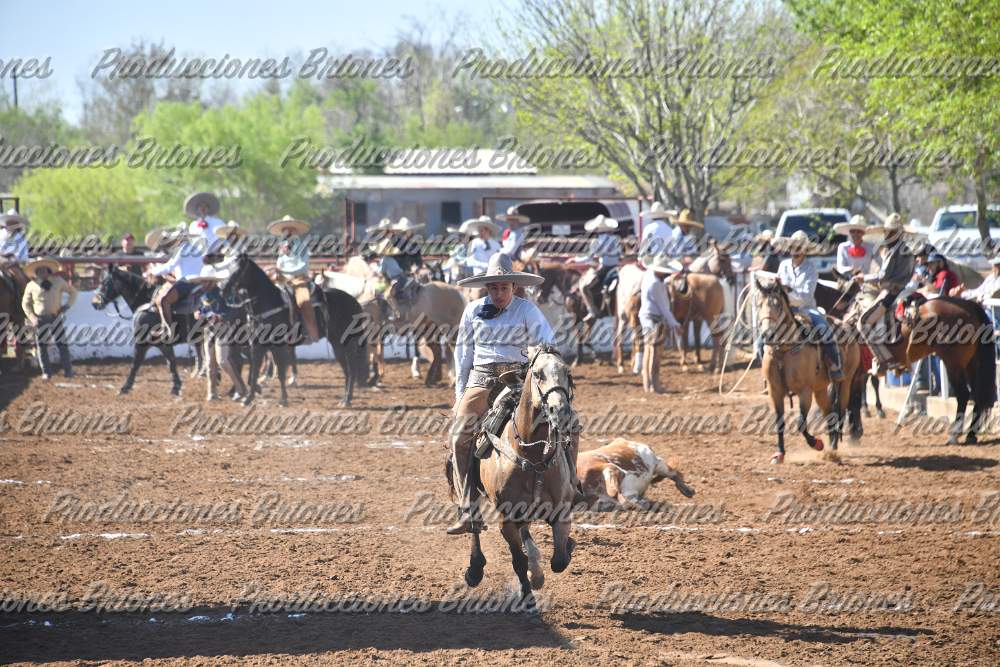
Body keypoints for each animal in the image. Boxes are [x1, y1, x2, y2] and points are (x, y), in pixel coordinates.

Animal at [91, 266, 200, 396]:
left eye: (105, 282)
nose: (94, 303)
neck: (147, 305)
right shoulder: (163, 345)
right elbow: (171, 363)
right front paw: (176, 387)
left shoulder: (142, 342)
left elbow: (135, 364)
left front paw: (125, 388)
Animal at [447, 344, 578, 611]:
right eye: (537, 374)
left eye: (567, 373)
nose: (561, 412)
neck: (533, 453)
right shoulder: (506, 519)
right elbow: (518, 561)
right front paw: (527, 597)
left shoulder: (561, 512)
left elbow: (559, 558)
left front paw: (563, 550)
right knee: (473, 523)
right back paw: (474, 570)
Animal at [754, 275, 862, 463]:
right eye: (759, 304)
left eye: (778, 305)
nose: (768, 334)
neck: (783, 351)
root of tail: (848, 326)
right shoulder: (775, 391)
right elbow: (779, 423)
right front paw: (779, 454)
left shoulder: (805, 391)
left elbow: (801, 423)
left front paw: (817, 444)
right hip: (820, 389)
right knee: (829, 413)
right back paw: (830, 447)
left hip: (845, 383)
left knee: (839, 412)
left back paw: (833, 449)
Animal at [848, 290, 997, 444]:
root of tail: (970, 306)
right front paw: (856, 431)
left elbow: (852, 401)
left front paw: (853, 433)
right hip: (970, 364)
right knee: (977, 394)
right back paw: (971, 434)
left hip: (953, 364)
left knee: (963, 394)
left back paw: (954, 434)